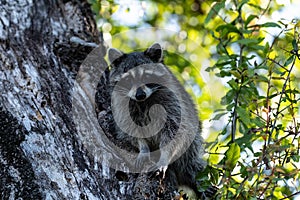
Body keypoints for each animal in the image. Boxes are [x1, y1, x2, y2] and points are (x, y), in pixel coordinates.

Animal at [106, 43, 207, 197]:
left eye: (147, 76)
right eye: (128, 80)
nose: (140, 95)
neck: (143, 102)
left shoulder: (172, 102)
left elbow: (175, 131)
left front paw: (164, 158)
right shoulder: (121, 107)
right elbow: (129, 130)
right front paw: (143, 148)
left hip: (192, 143)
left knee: (190, 161)